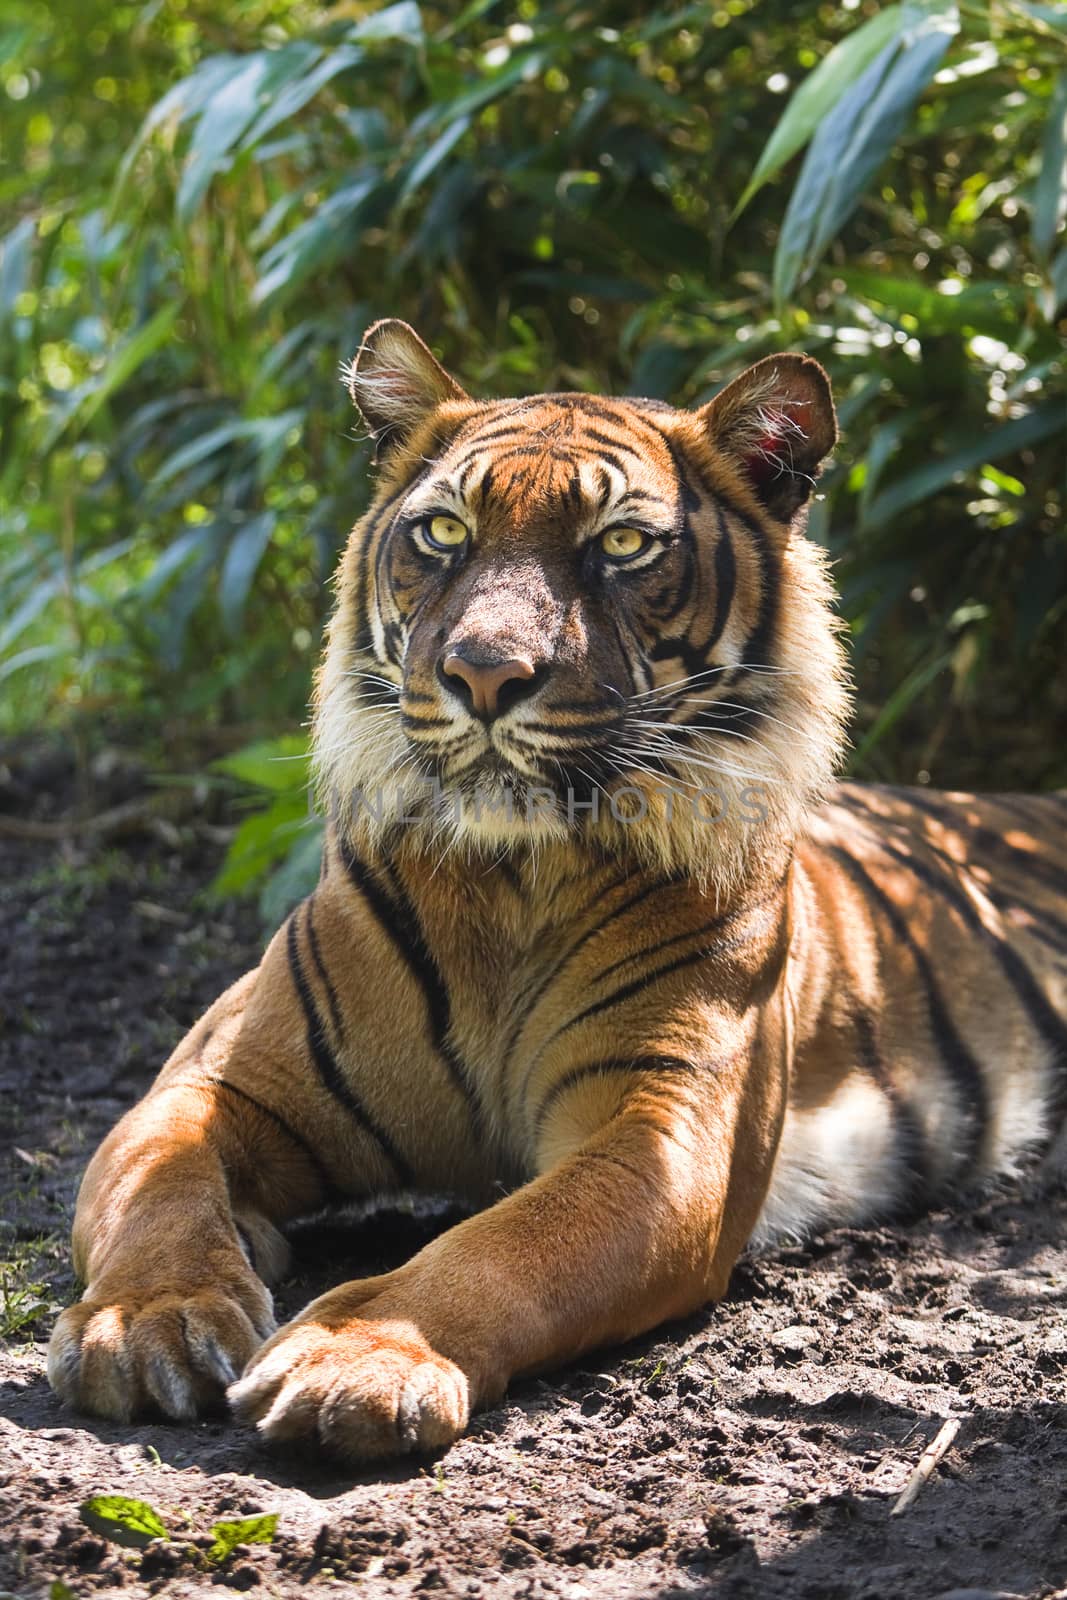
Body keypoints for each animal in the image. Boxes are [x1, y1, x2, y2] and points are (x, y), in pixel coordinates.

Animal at [47, 321, 1067, 1465]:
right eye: (444, 530)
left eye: (621, 545)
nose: (485, 673)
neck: (512, 876)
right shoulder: (215, 1078)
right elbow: (160, 1187)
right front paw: (151, 1319)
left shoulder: (658, 1136)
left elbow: (502, 1242)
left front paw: (358, 1353)